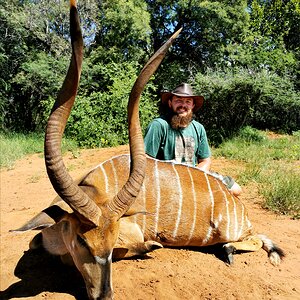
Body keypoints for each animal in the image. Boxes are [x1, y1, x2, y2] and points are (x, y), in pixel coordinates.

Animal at [13, 0, 284, 300]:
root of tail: (239, 207)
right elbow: (35, 242)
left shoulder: (131, 231)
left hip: (233, 231)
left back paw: (229, 250)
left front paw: (152, 246)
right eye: (81, 240)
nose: (104, 295)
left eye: (109, 242)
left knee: (254, 239)